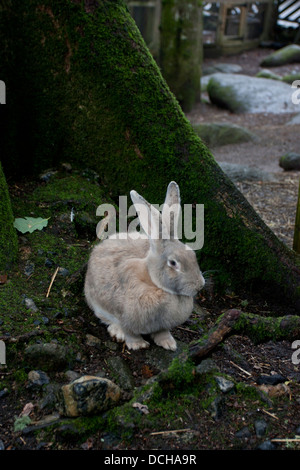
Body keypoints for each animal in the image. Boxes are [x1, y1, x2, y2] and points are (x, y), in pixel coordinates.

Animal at [84, 182, 206, 350]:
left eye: (193, 255)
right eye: (173, 263)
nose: (199, 286)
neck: (154, 283)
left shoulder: (162, 326)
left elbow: (162, 332)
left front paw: (169, 344)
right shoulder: (125, 317)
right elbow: (130, 332)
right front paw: (138, 345)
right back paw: (117, 332)